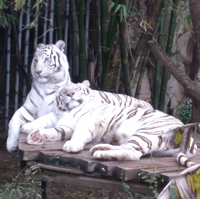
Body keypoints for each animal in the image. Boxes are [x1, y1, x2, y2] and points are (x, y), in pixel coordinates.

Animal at [21, 80, 197, 166]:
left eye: (76, 89)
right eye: (64, 91)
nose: (70, 94)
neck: (67, 110)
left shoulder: (88, 120)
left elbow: (78, 133)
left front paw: (72, 145)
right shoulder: (64, 124)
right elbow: (52, 128)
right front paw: (34, 135)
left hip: (148, 132)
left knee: (133, 153)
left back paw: (100, 154)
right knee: (132, 150)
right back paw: (100, 148)